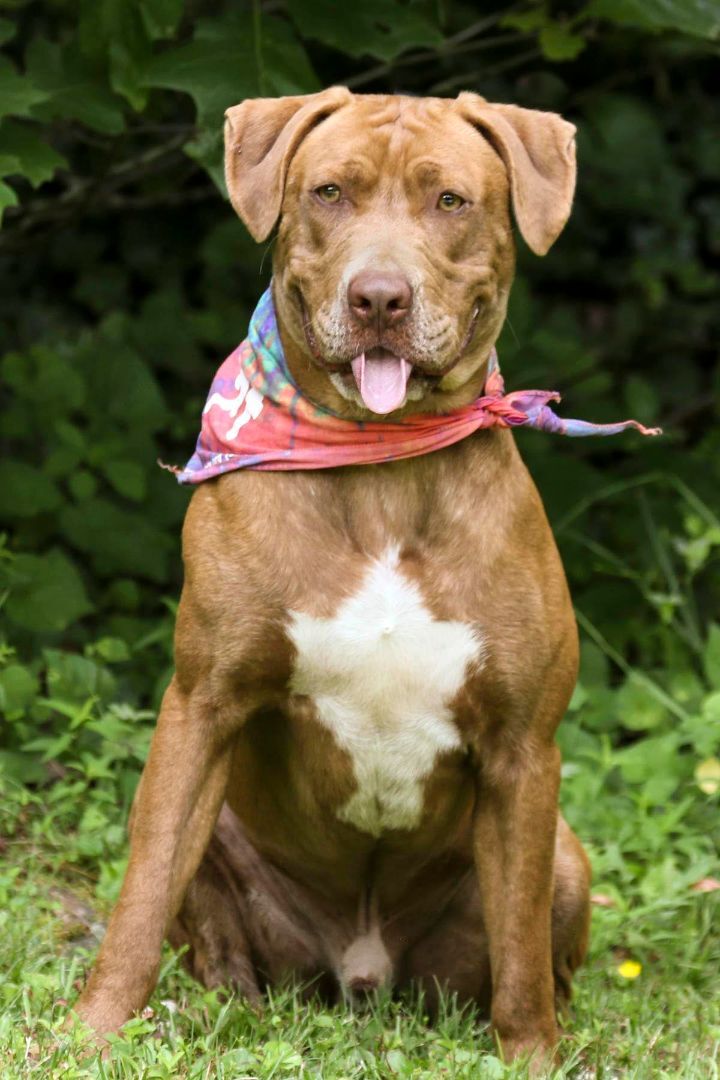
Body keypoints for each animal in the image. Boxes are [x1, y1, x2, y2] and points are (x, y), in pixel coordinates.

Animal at [73, 88, 591, 1067]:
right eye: (329, 192)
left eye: (450, 201)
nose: (379, 296)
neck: (380, 467)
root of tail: (362, 972)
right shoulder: (201, 707)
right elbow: (142, 895)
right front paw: (90, 1035)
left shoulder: (522, 750)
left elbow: (521, 954)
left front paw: (533, 1058)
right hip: (219, 839)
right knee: (209, 937)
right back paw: (217, 1008)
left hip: (568, 859)